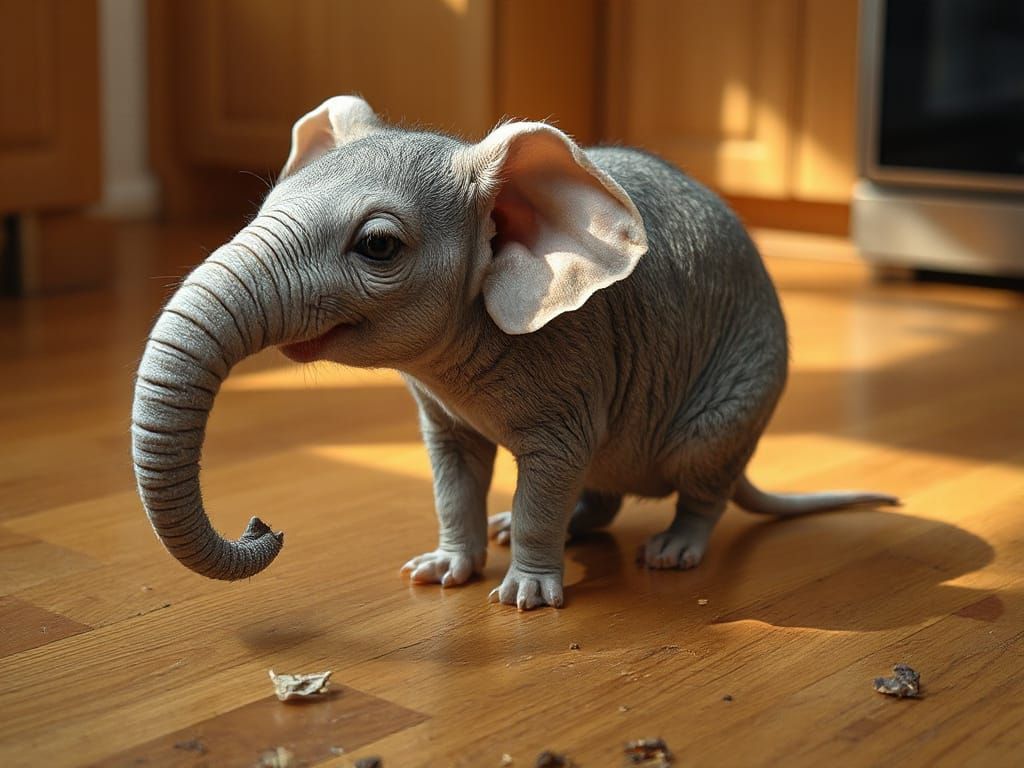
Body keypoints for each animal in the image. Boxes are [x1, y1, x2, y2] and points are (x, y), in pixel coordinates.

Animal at [132, 95, 897, 611]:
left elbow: (551, 469)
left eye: (378, 246)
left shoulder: (574, 351)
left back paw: (674, 549)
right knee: (602, 486)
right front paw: (445, 570)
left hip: (734, 401)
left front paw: (526, 594)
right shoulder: (444, 407)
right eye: (265, 205)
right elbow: (453, 471)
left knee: (697, 477)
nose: (261, 523)